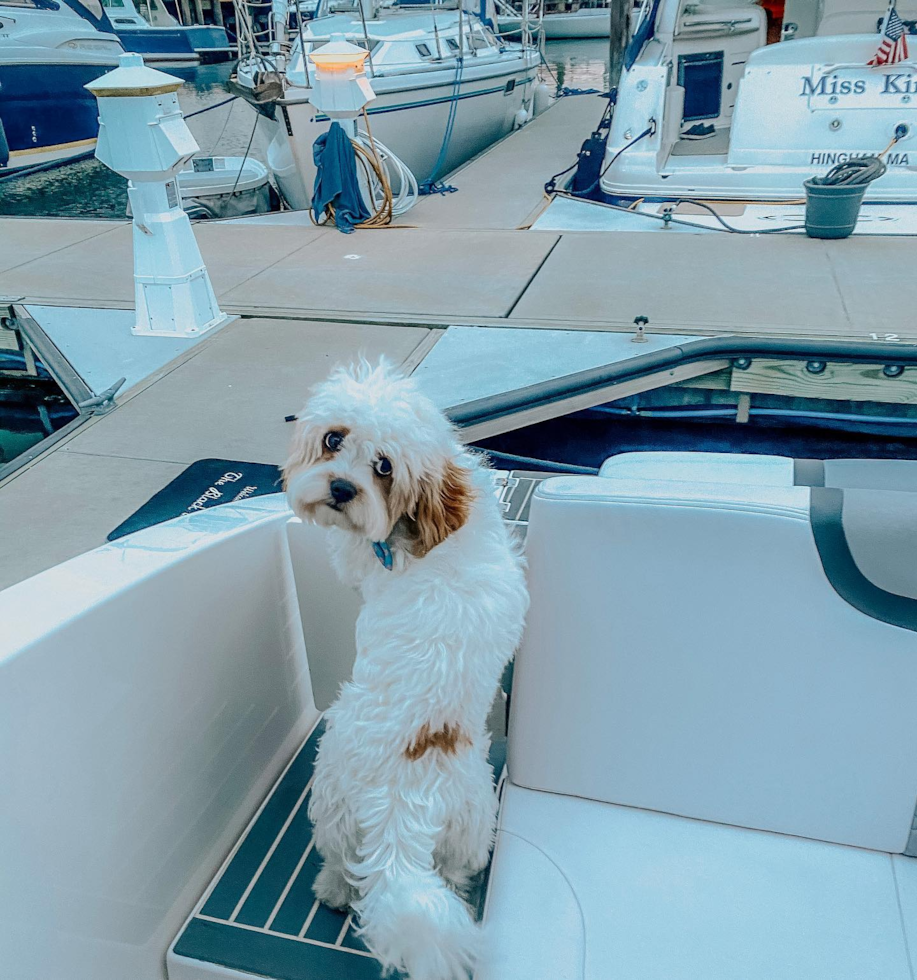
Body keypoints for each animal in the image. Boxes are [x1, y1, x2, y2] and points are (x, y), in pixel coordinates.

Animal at [284, 362, 528, 980]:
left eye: (384, 467)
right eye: (334, 439)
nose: (340, 490)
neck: (434, 529)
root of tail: (402, 807)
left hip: (331, 797)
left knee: (344, 862)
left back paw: (331, 888)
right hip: (471, 825)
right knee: (453, 872)